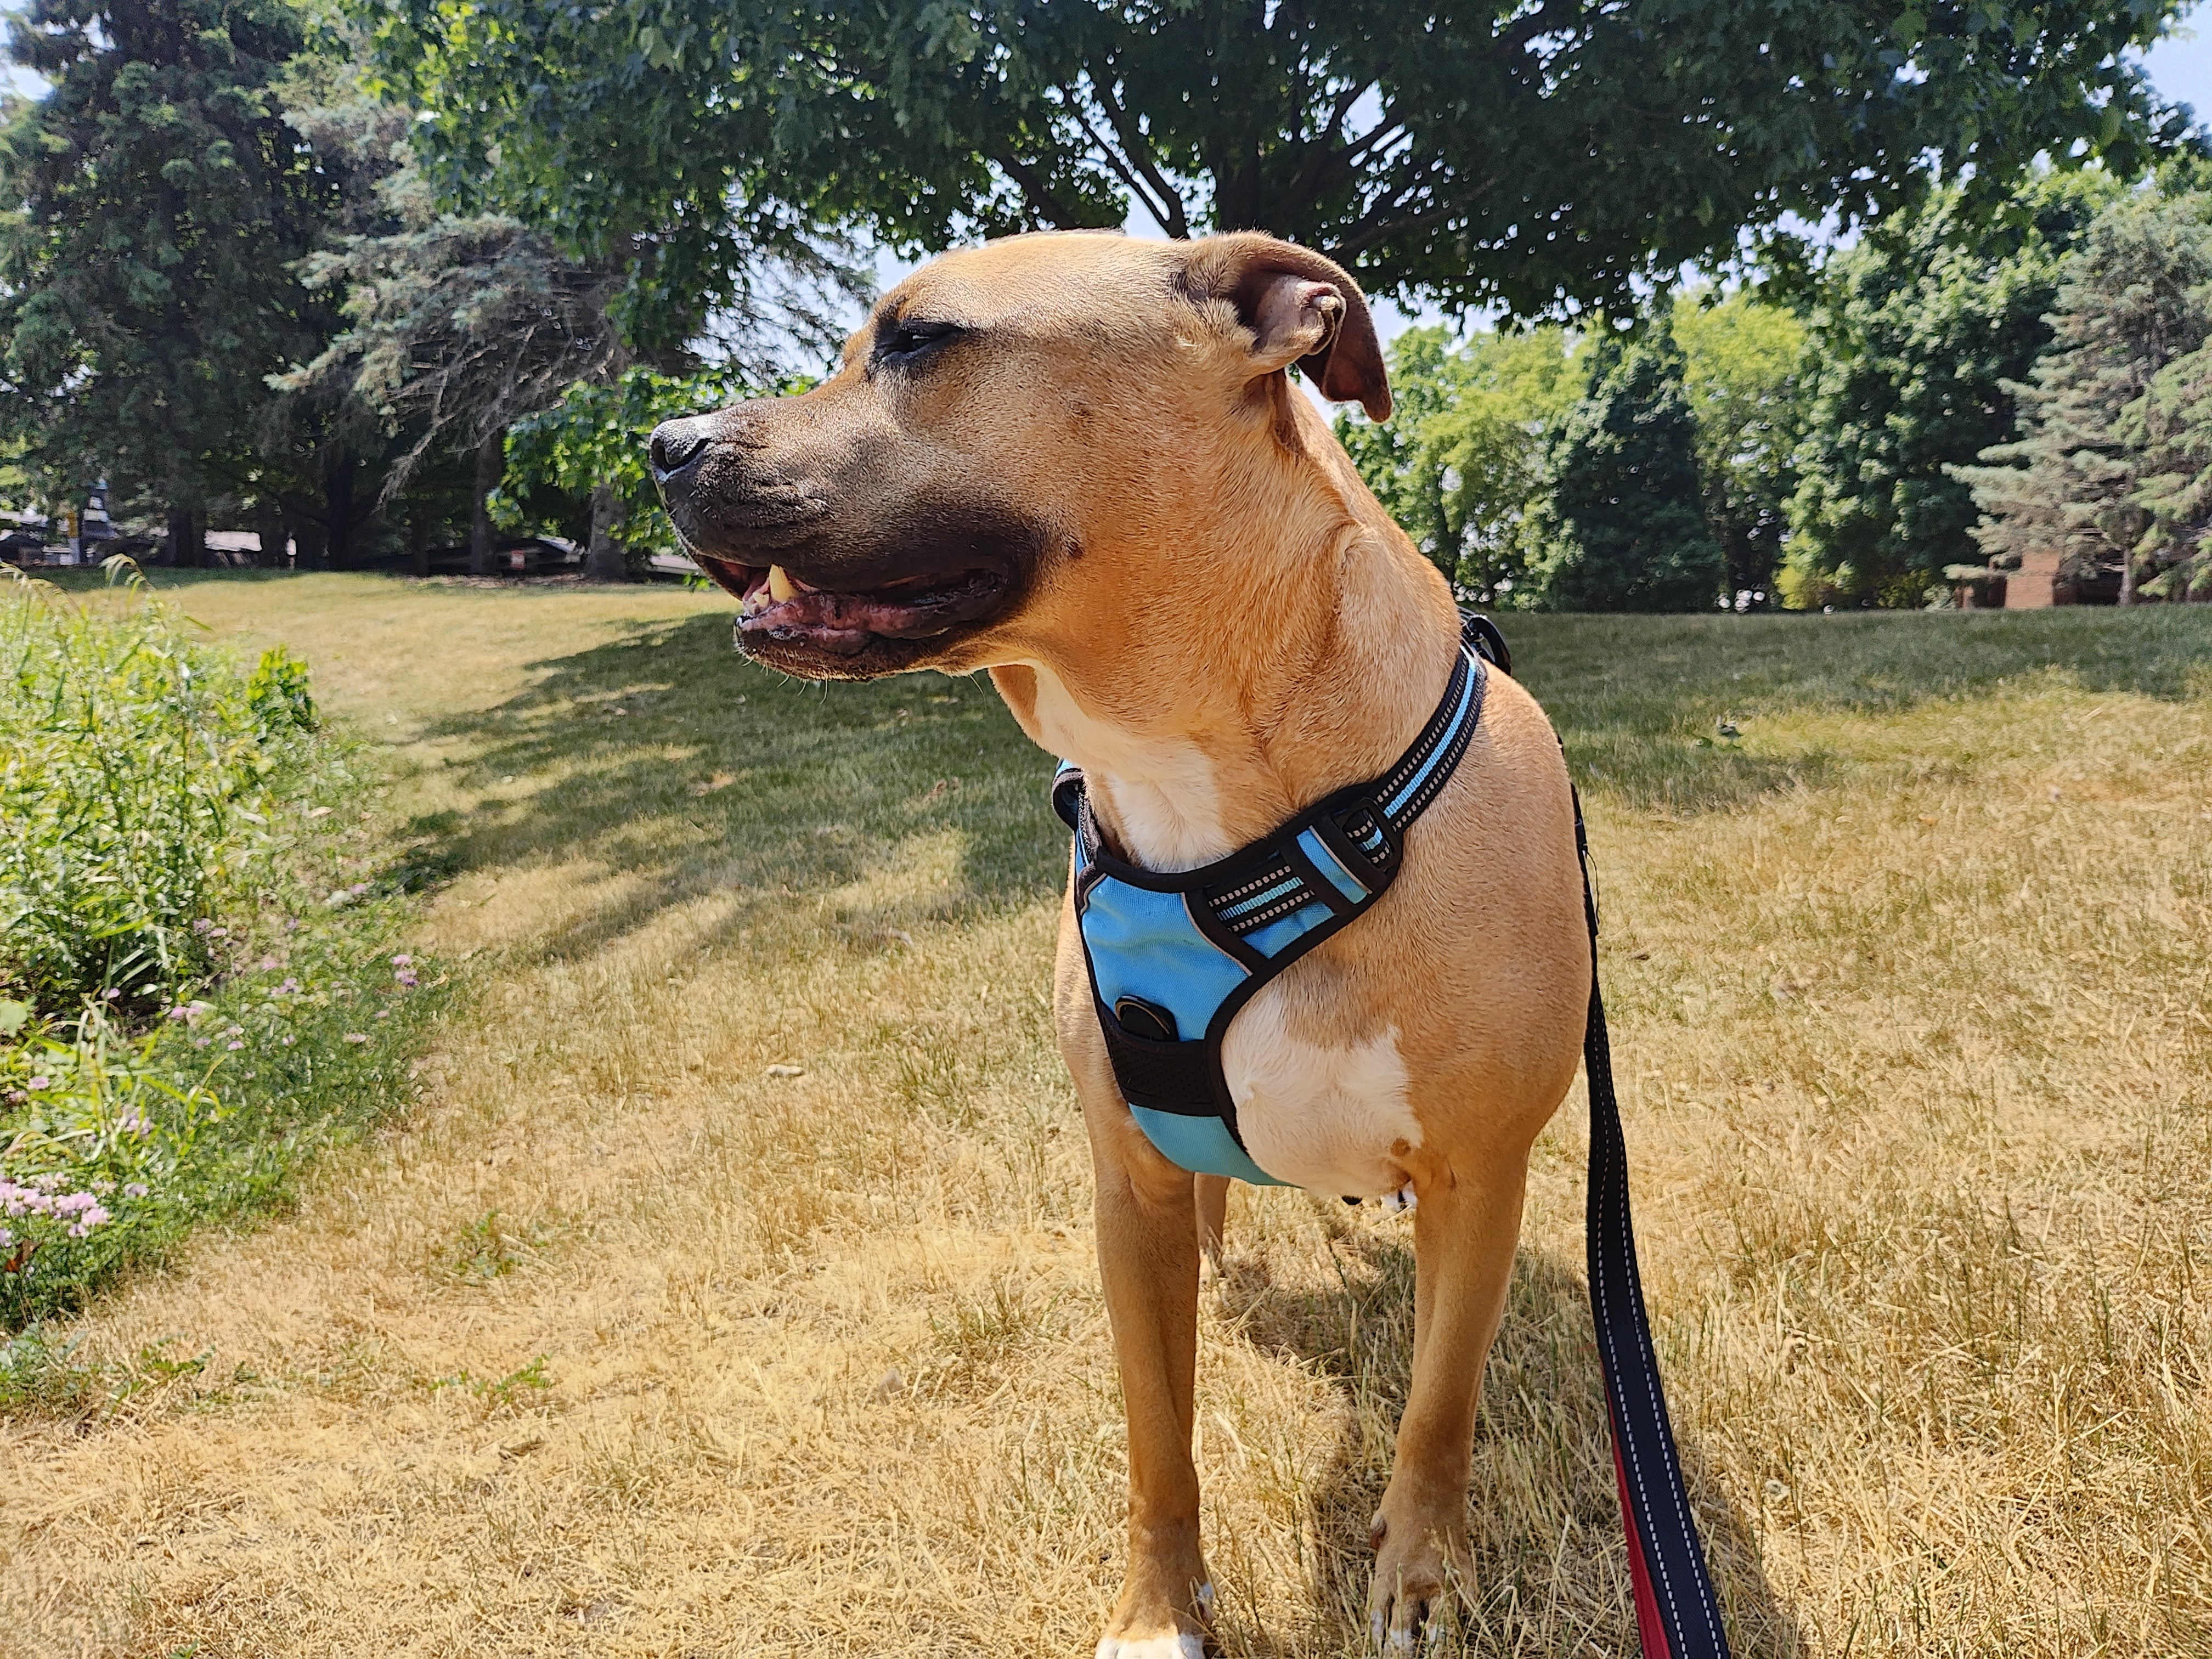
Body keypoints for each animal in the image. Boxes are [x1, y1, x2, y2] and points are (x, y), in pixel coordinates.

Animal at [646, 228, 1601, 1654]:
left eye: (919, 340)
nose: (663, 441)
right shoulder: (1126, 1191)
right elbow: (1158, 1436)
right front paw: (1158, 1610)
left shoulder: (1482, 1177)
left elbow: (1438, 1408)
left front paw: (1425, 1569)